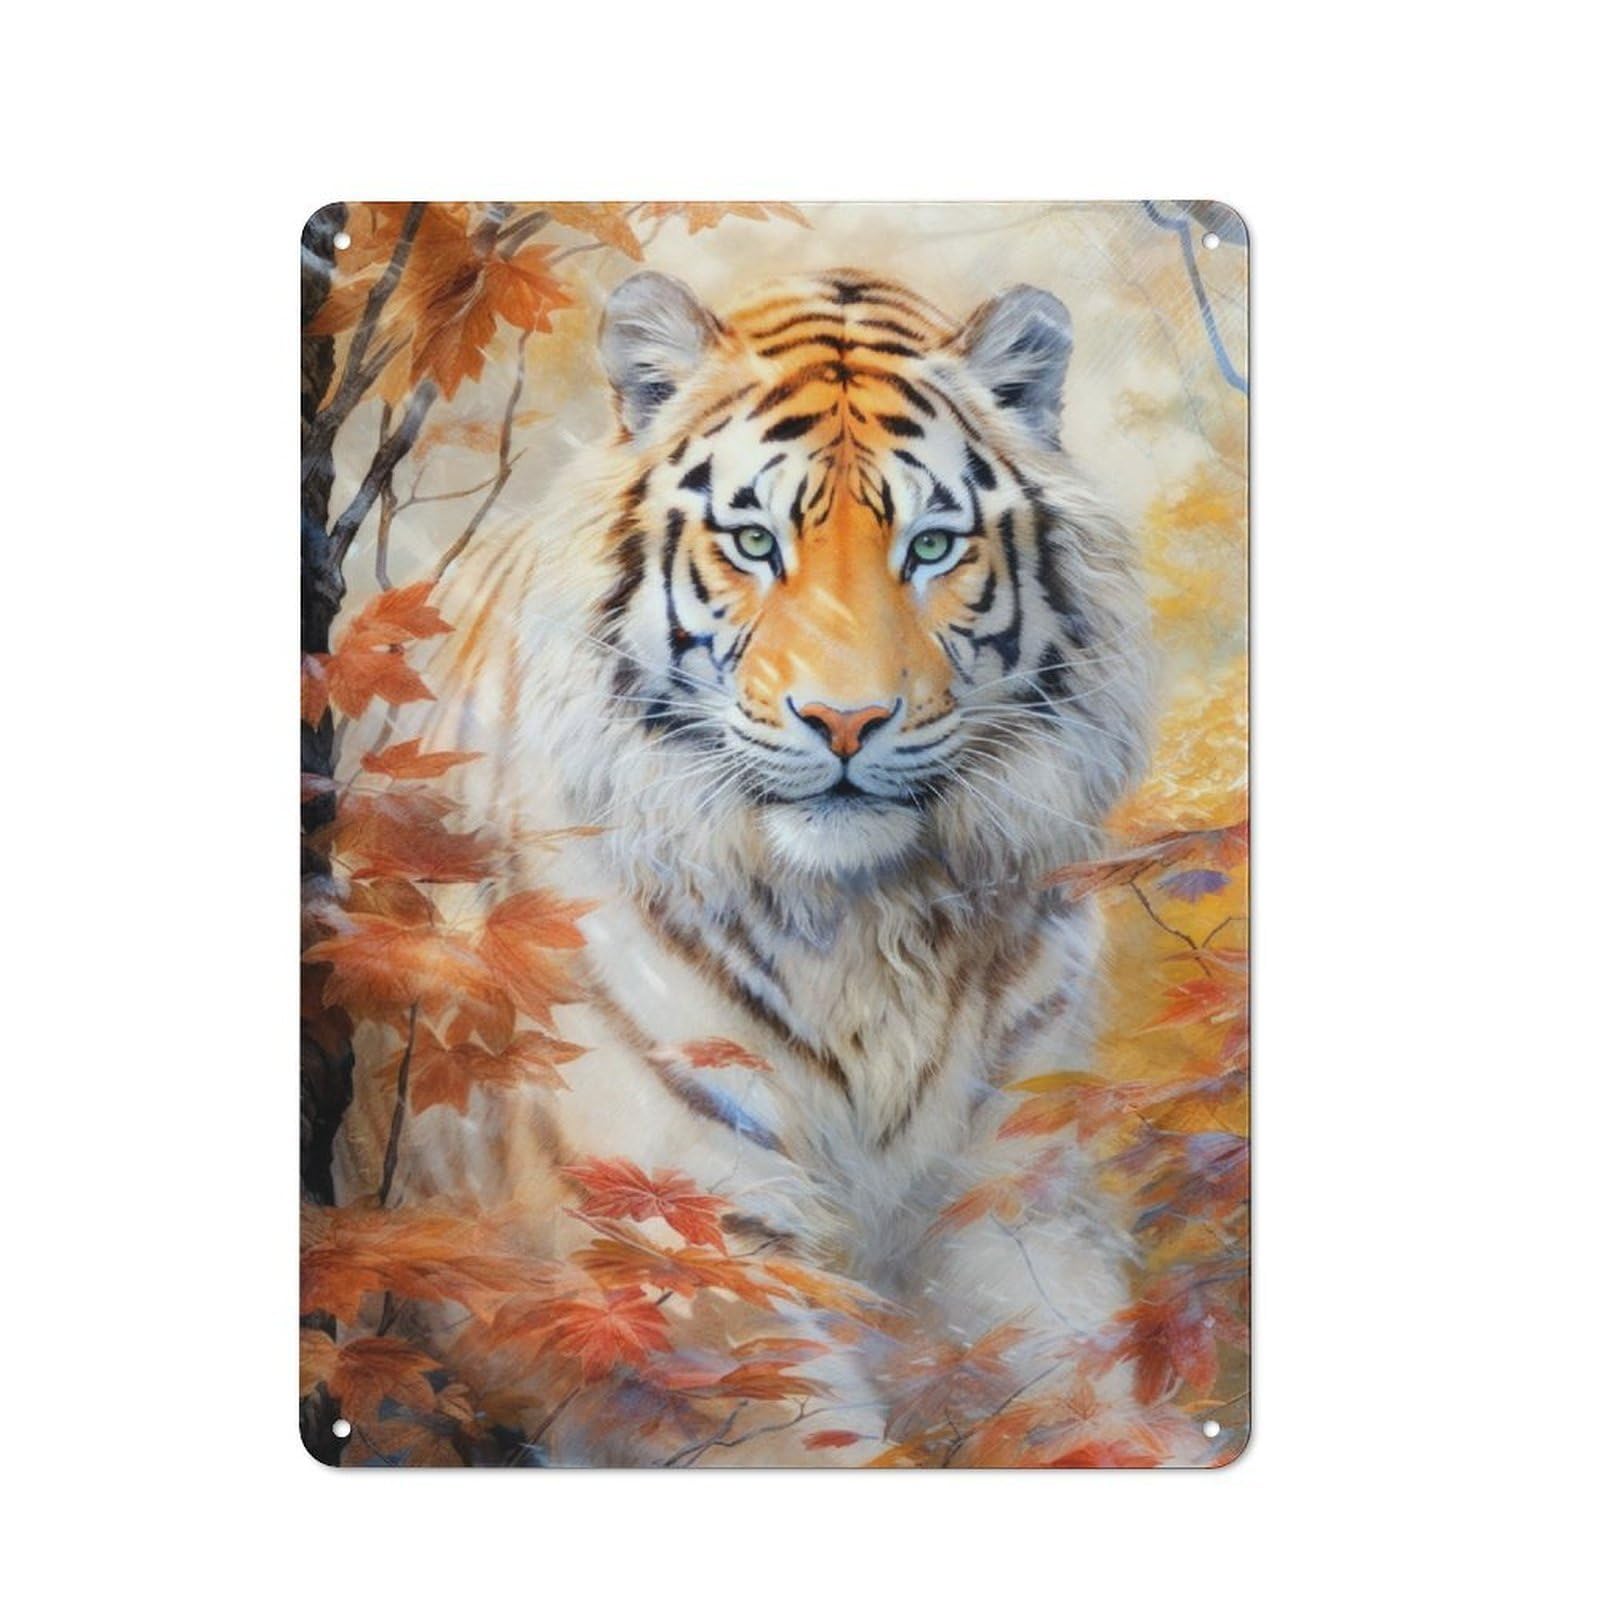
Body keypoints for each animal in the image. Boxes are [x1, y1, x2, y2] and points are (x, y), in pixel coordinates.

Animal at [336, 268, 1155, 1462]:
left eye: (931, 547)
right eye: (757, 541)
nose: (846, 721)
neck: (871, 926)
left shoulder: (1014, 1206)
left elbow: (1092, 1412)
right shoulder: (676, 1251)